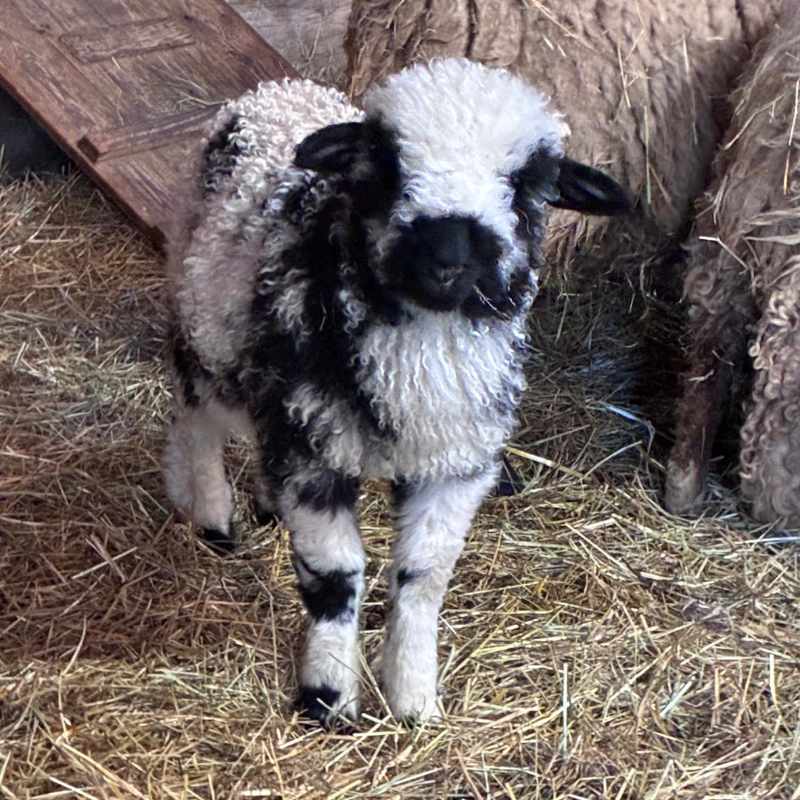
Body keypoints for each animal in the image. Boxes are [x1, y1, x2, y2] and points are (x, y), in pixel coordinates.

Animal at [164, 58, 630, 725]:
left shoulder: (454, 461)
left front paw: (414, 699)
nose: (446, 259)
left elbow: (424, 576)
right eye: (386, 168)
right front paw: (328, 697)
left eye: (526, 186)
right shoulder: (316, 452)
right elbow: (334, 578)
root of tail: (275, 91)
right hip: (204, 320)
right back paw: (208, 511)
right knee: (195, 413)